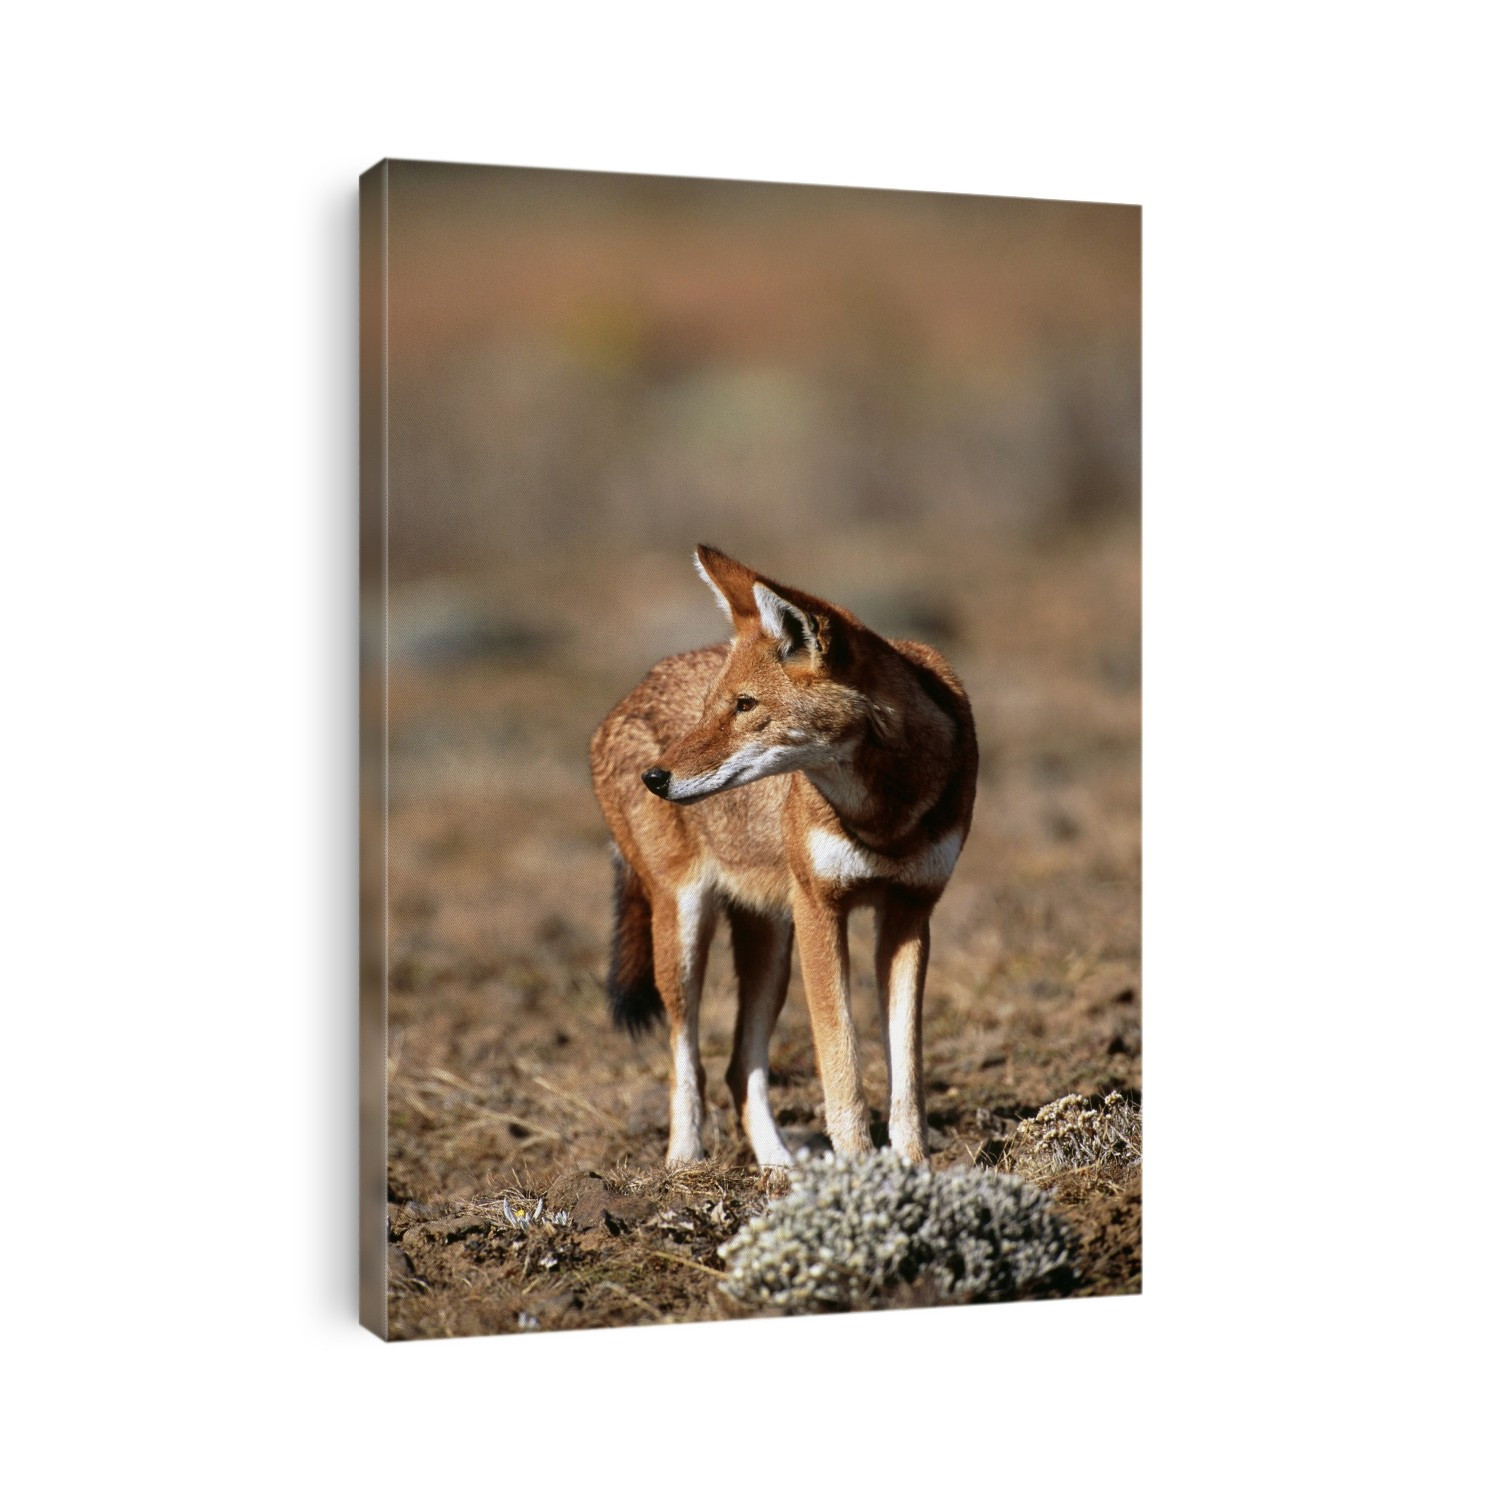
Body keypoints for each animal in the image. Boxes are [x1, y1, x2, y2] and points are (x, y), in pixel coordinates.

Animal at [589, 545, 977, 1166]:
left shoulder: (910, 915)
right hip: (686, 933)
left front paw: (913, 1166)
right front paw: (858, 1169)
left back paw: (778, 1168)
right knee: (687, 1060)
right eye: (712, 708)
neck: (883, 816)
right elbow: (841, 1068)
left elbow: (907, 1074)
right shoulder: (821, 909)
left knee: (737, 1070)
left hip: (772, 948)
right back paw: (683, 1164)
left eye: (745, 706)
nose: (654, 778)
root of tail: (622, 703)